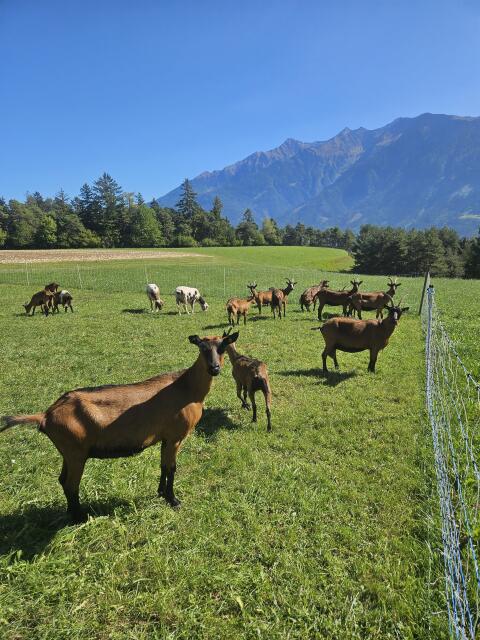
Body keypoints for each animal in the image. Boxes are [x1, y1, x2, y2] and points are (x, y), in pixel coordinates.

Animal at [0, 332, 239, 521]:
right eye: (202, 348)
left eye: (222, 347)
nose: (214, 368)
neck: (187, 388)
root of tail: (46, 415)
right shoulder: (176, 437)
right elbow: (172, 468)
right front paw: (173, 500)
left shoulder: (165, 438)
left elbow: (163, 466)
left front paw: (161, 493)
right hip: (76, 453)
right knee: (70, 484)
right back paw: (80, 517)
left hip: (68, 452)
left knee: (62, 480)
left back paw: (71, 513)